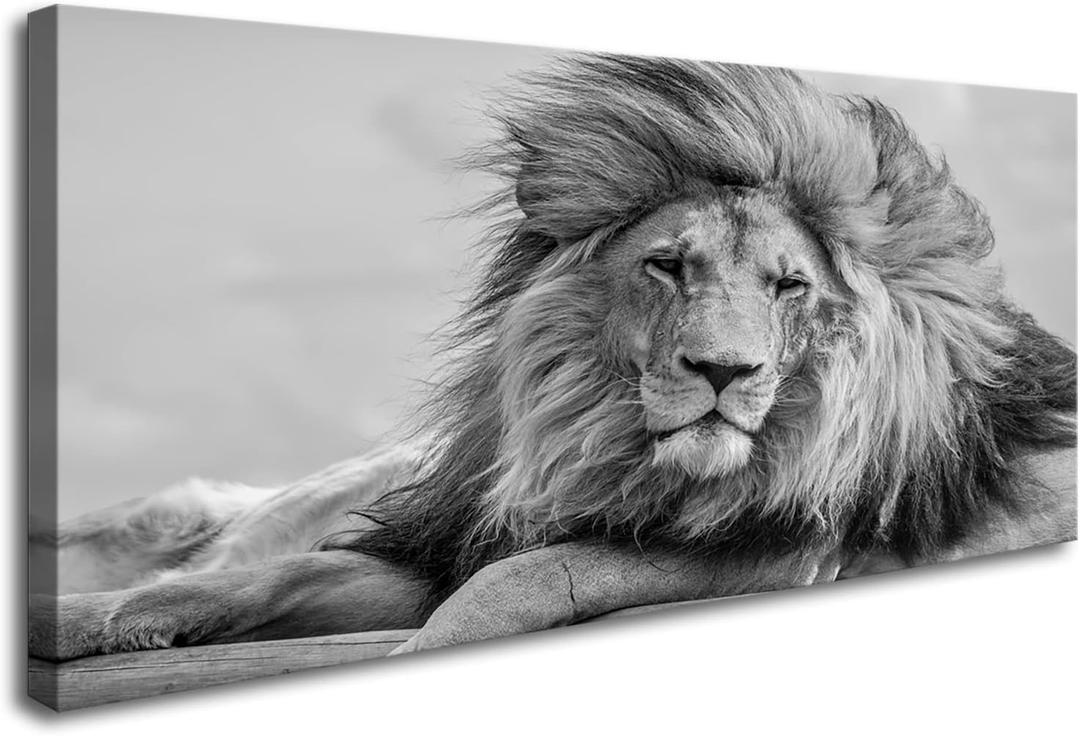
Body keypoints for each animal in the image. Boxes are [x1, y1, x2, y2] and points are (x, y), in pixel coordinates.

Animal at [29, 55, 1077, 662]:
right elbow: (254, 579)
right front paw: (77, 623)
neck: (604, 445)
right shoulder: (435, 542)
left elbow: (519, 584)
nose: (723, 372)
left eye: (790, 287)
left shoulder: (782, 560)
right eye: (668, 265)